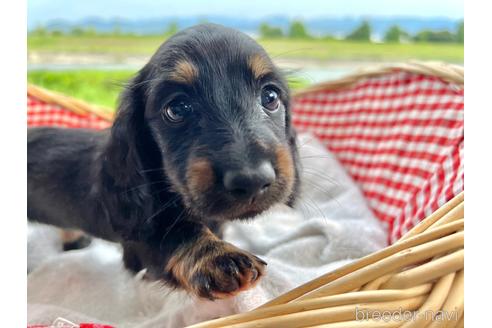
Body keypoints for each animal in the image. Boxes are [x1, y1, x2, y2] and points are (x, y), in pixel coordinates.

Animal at [30, 23, 302, 300]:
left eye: (270, 96)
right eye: (177, 108)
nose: (253, 180)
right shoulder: (139, 242)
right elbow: (178, 233)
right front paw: (218, 257)